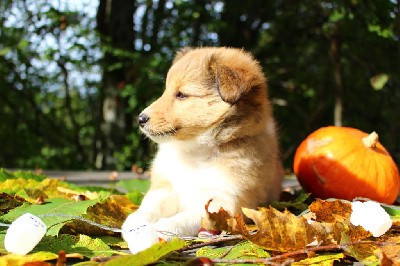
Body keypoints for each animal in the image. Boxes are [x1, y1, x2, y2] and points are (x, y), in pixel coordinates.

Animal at [123, 46, 282, 238]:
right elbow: (152, 205)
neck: (195, 153)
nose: (140, 119)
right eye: (166, 91)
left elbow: (193, 216)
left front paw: (165, 227)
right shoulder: (168, 185)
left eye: (182, 95)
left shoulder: (228, 200)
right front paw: (136, 223)